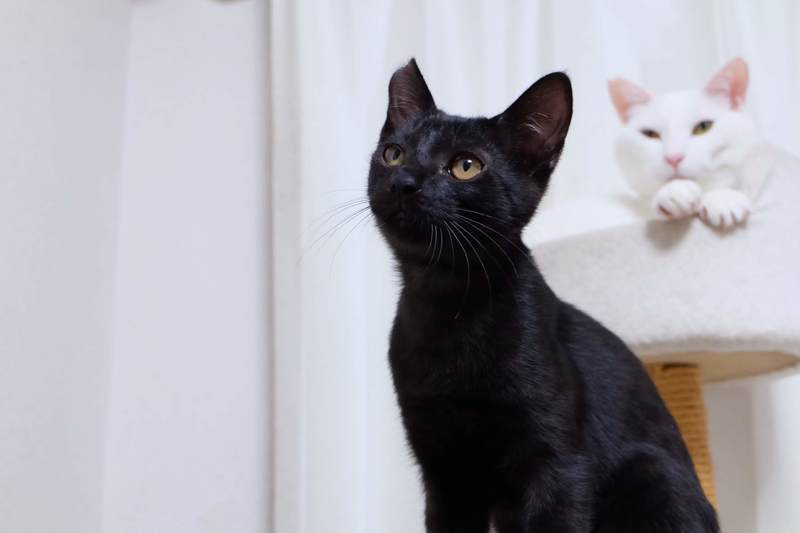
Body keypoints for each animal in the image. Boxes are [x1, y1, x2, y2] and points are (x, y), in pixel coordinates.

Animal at [368, 58, 719, 533]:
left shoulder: (559, 464)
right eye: (393, 154)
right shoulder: (445, 474)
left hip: (652, 470)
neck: (448, 306)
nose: (404, 182)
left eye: (465, 166)